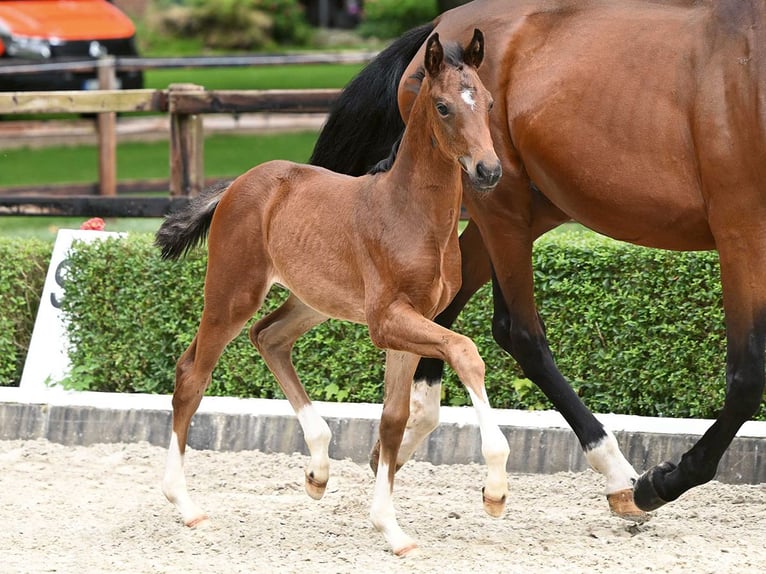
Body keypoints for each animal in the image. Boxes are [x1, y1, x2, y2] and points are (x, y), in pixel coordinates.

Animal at [155, 28, 504, 560]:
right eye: (443, 107)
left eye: (487, 102)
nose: (488, 170)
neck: (411, 213)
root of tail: (238, 184)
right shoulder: (387, 320)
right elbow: (466, 352)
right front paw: (495, 490)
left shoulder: (411, 323)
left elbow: (394, 419)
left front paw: (390, 527)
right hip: (233, 293)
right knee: (193, 374)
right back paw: (186, 504)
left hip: (312, 300)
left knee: (269, 337)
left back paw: (318, 469)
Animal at [308, 0, 766, 516]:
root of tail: (443, 23)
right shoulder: (741, 227)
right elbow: (748, 376)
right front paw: (662, 482)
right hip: (499, 200)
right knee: (519, 331)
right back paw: (619, 475)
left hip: (521, 204)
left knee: (443, 313)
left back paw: (402, 438)